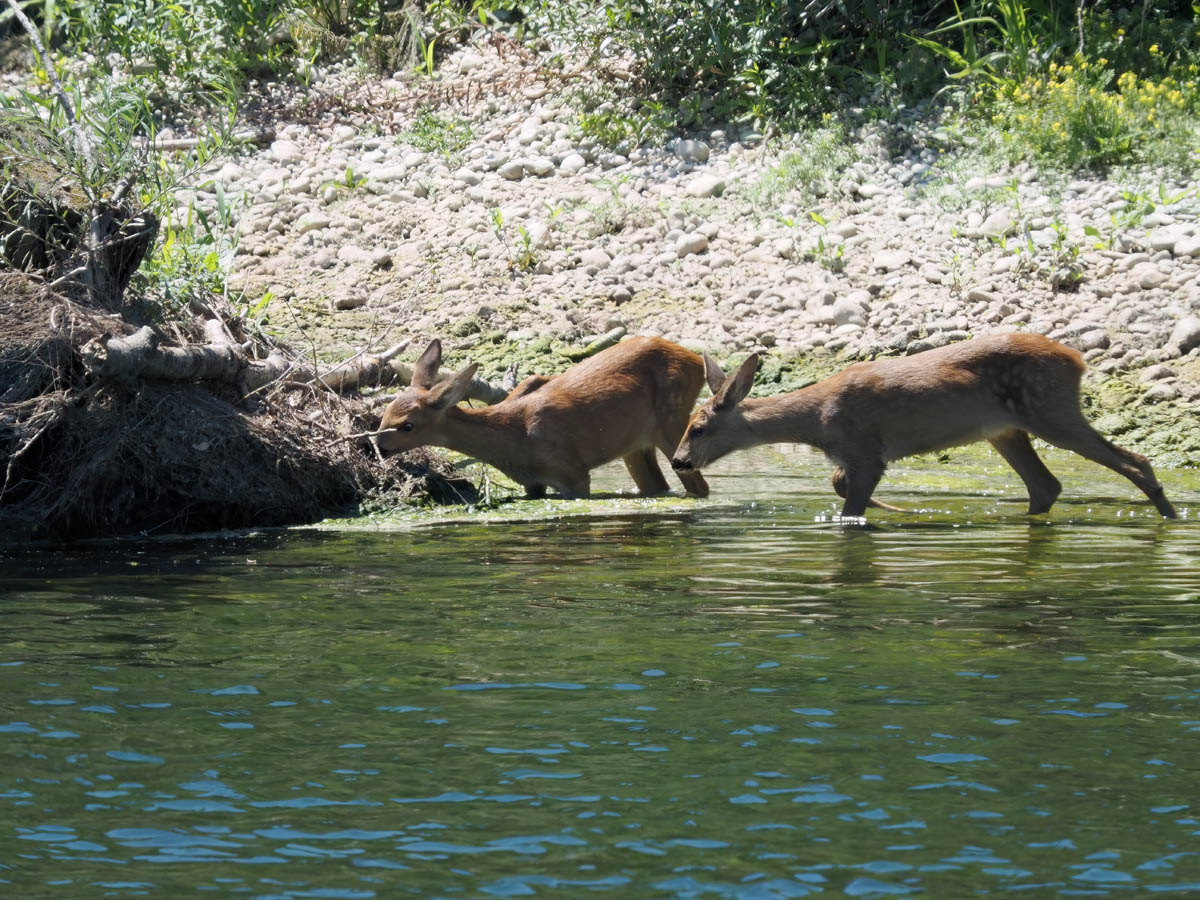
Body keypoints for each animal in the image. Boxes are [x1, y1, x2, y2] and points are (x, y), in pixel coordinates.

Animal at [376, 336, 710, 501]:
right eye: (383, 416)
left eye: (407, 425)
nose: (379, 447)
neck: (514, 439)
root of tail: (696, 359)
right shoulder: (532, 484)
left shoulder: (572, 473)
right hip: (636, 444)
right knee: (657, 485)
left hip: (673, 423)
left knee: (700, 487)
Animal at [672, 333, 1176, 520]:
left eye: (697, 428)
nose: (678, 461)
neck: (816, 419)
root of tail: (1078, 360)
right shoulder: (852, 457)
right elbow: (836, 484)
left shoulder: (864, 452)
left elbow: (849, 511)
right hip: (1005, 430)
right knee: (1046, 486)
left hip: (1051, 411)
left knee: (1136, 460)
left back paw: (1168, 517)